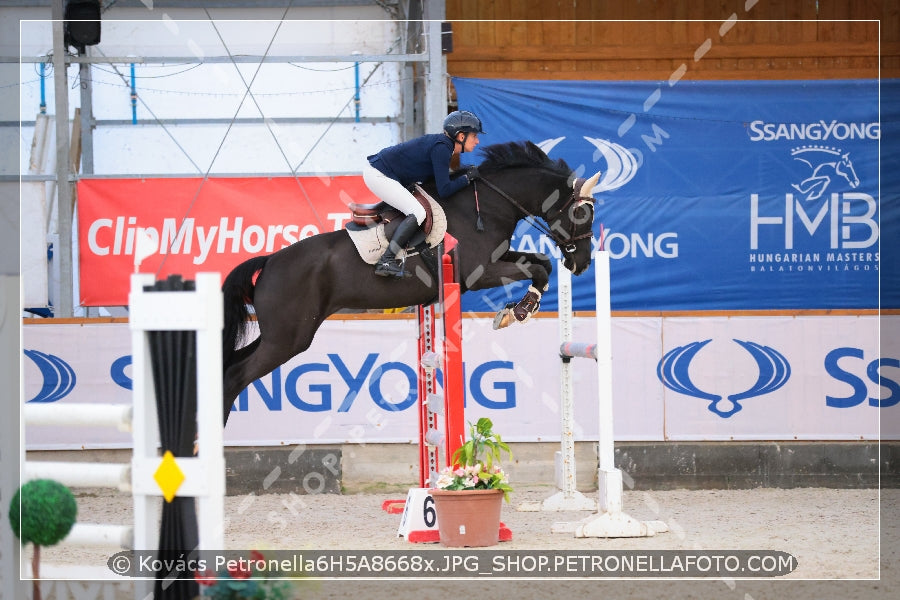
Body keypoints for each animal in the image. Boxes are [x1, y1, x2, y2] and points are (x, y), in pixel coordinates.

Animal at [220, 139, 596, 426]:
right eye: (582, 213)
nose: (582, 263)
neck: (487, 205)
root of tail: (270, 261)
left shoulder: (498, 259)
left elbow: (540, 263)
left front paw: (517, 310)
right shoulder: (479, 273)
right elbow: (539, 270)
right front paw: (517, 312)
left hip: (280, 335)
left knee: (230, 368)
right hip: (288, 338)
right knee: (236, 377)